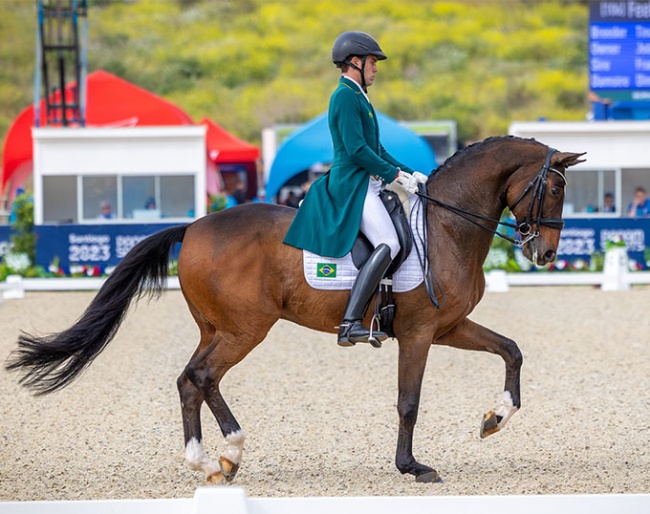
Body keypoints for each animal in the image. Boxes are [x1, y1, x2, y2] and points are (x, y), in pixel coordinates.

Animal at [5, 134, 584, 482]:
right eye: (554, 190)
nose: (546, 254)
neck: (445, 226)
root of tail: (193, 226)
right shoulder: (420, 333)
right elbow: (408, 402)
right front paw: (411, 466)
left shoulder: (450, 325)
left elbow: (511, 350)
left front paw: (495, 419)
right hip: (245, 329)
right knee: (201, 377)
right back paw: (225, 452)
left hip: (218, 328)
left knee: (191, 380)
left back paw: (214, 459)